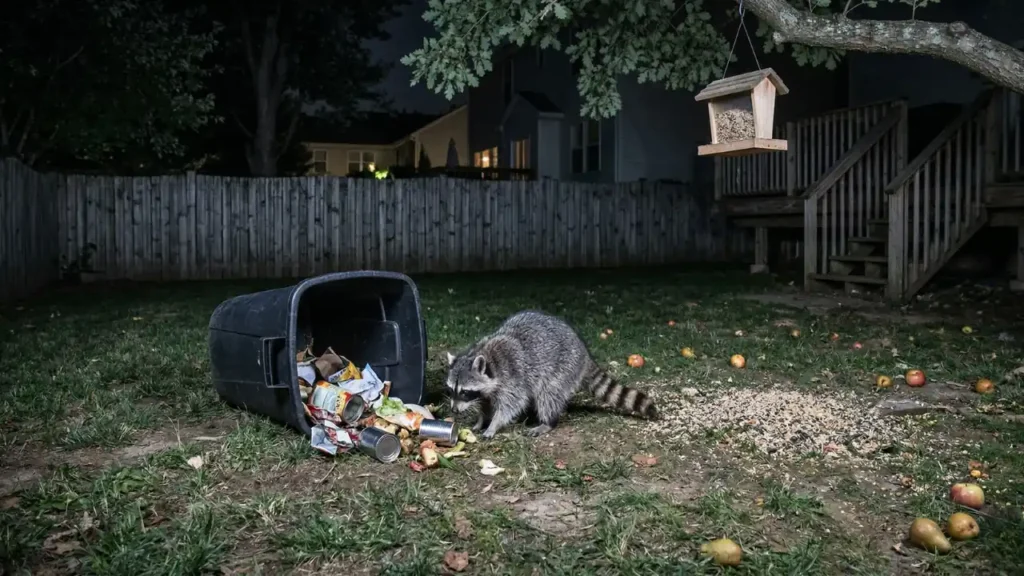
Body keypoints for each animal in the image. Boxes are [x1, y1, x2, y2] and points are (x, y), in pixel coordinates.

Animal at [444, 309, 658, 439]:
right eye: (451, 390)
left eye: (464, 392)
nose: (454, 410)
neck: (486, 358)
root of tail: (584, 352)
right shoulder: (488, 388)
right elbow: (486, 403)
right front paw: (481, 419)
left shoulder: (512, 378)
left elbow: (511, 405)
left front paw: (494, 424)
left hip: (563, 368)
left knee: (548, 395)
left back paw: (548, 422)